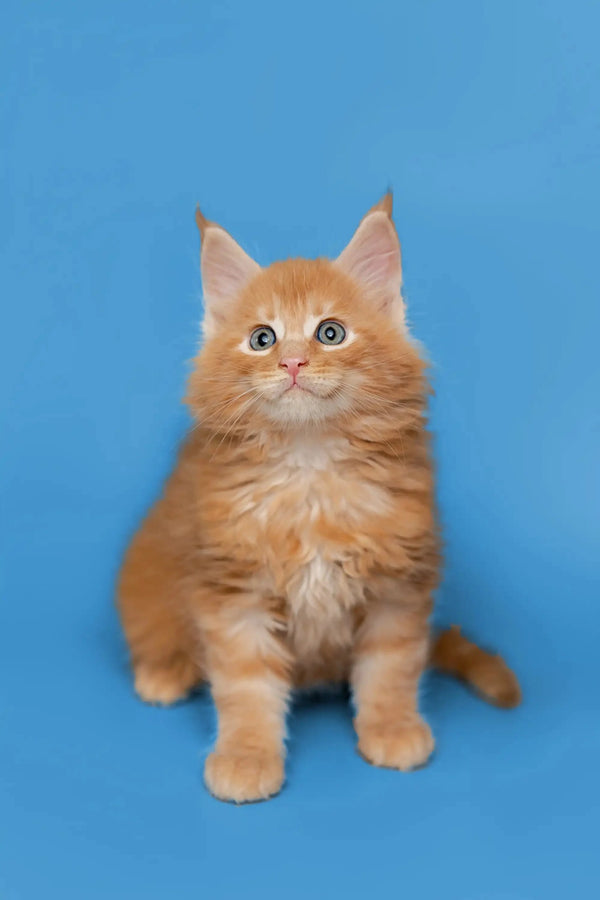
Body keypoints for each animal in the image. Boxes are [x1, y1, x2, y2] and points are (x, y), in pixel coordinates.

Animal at [117, 195, 520, 800]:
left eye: (330, 333)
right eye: (262, 339)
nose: (292, 363)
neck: (310, 473)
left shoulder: (398, 585)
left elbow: (390, 669)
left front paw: (392, 728)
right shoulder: (232, 591)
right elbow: (245, 687)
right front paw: (246, 755)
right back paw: (166, 671)